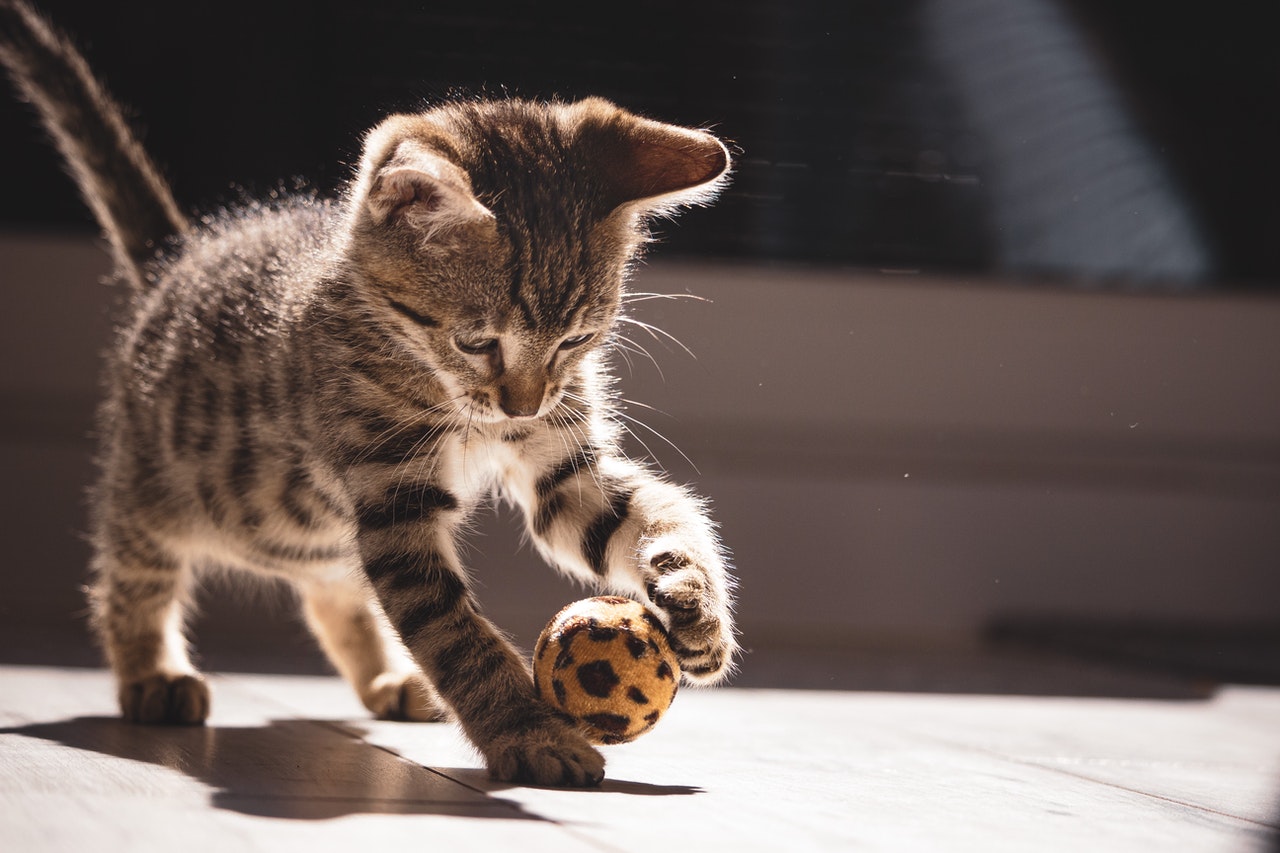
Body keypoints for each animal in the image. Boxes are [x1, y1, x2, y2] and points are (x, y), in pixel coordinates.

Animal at [2, 0, 742, 783]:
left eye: (576, 340)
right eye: (478, 342)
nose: (524, 404)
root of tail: (180, 262)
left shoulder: (562, 467)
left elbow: (650, 514)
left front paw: (695, 602)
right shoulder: (393, 500)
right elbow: (452, 631)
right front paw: (528, 733)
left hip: (316, 533)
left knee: (333, 590)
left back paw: (388, 678)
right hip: (156, 489)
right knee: (130, 571)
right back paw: (151, 672)